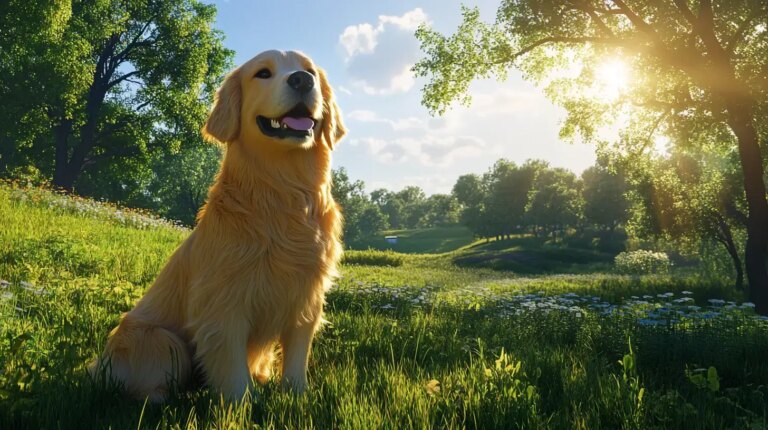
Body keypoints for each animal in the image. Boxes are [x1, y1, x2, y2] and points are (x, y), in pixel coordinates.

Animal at [87, 51, 344, 404]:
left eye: (310, 71)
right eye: (263, 73)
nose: (302, 80)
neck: (283, 192)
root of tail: (97, 365)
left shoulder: (307, 299)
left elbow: (295, 360)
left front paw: (296, 397)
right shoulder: (224, 304)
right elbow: (233, 371)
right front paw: (242, 404)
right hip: (162, 340)